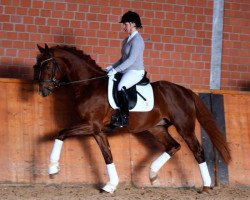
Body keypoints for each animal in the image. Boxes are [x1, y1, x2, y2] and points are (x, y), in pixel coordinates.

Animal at [33, 44, 230, 194]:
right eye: (36, 66)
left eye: (48, 67)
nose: (42, 91)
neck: (89, 84)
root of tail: (185, 91)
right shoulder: (97, 130)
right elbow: (107, 156)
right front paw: (110, 186)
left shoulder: (91, 125)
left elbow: (62, 132)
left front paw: (52, 169)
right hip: (157, 128)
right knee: (173, 146)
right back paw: (152, 174)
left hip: (185, 128)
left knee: (198, 151)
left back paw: (205, 186)